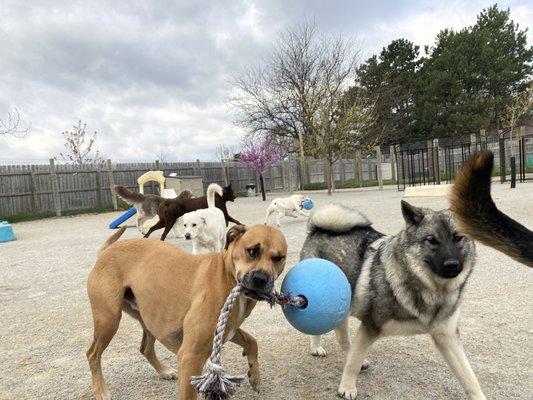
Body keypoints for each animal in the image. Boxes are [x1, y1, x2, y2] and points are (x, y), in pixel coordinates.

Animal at [86, 225, 286, 400]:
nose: (261, 278)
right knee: (92, 354)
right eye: (252, 251)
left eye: (279, 258)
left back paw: (164, 371)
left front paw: (255, 375)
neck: (226, 274)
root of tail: (106, 251)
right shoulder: (191, 356)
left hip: (149, 318)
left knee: (145, 348)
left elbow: (252, 341)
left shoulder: (226, 329)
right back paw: (100, 390)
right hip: (109, 320)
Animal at [300, 202, 486, 400]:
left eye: (458, 238)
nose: (452, 265)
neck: (431, 289)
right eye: (432, 240)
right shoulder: (370, 326)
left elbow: (469, 377)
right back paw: (316, 347)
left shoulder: (447, 336)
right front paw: (347, 387)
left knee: (343, 338)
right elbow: (353, 364)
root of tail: (317, 229)